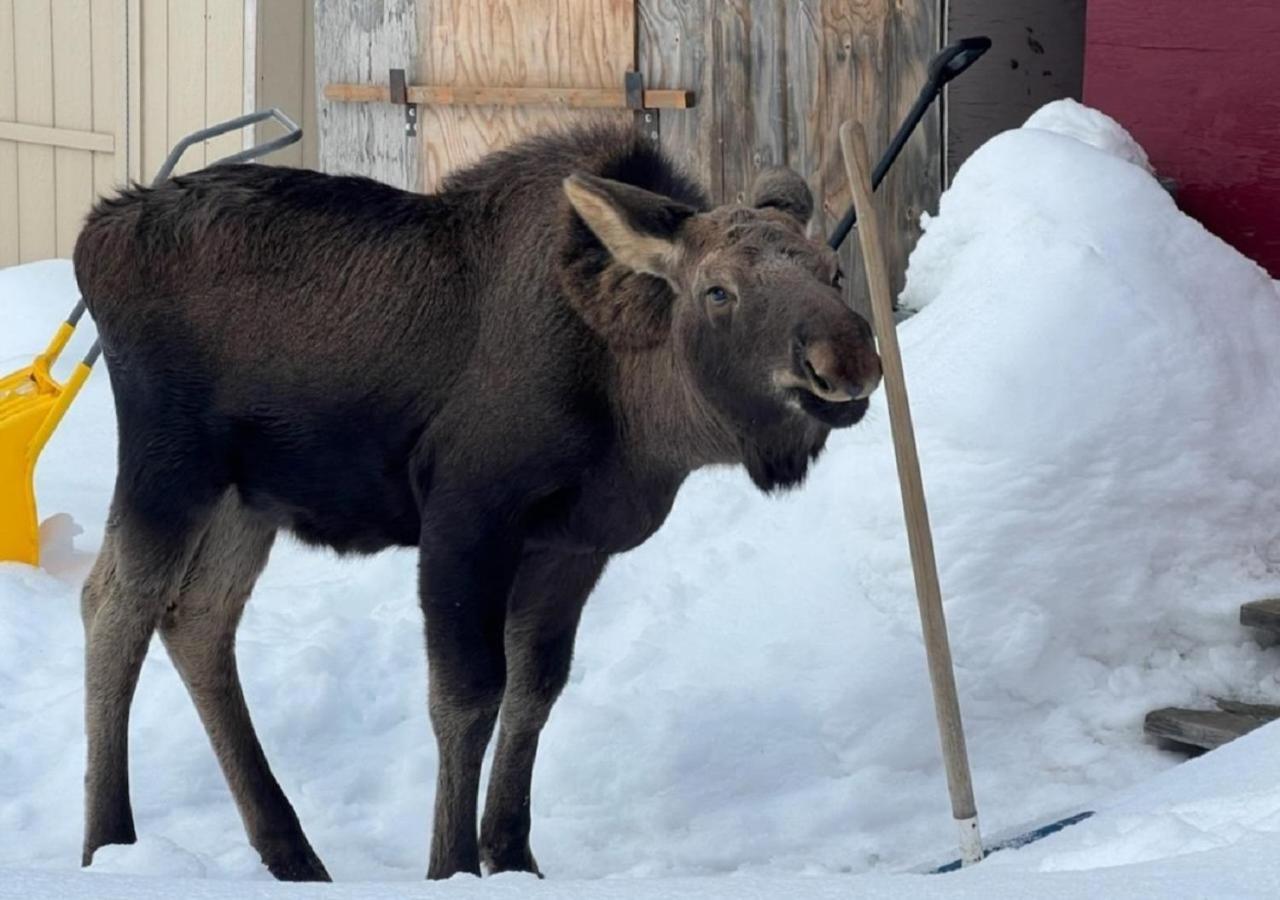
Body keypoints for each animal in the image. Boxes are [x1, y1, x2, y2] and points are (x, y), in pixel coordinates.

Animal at [72, 122, 880, 885]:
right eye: (718, 290)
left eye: (835, 270)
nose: (844, 359)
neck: (635, 408)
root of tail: (91, 238)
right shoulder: (467, 516)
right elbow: (466, 696)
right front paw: (452, 862)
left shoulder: (572, 545)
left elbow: (536, 689)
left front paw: (512, 853)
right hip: (169, 460)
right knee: (114, 602)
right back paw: (108, 841)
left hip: (247, 495)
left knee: (199, 616)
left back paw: (289, 850)